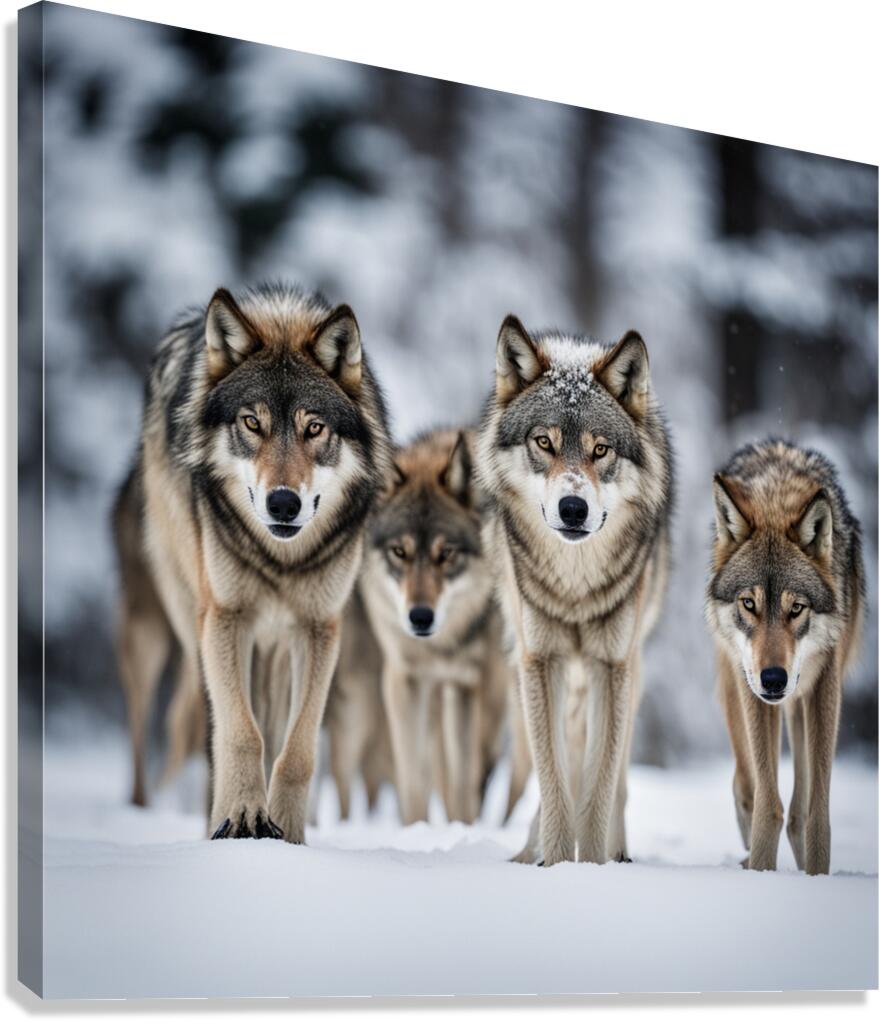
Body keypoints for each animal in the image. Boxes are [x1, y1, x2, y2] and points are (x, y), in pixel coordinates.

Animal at [114, 282, 392, 841]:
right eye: (251, 423)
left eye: (314, 428)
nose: (282, 503)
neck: (280, 558)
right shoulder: (225, 618)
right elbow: (242, 733)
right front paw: (243, 815)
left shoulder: (319, 628)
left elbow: (297, 748)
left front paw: (288, 835)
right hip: (173, 627)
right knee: (192, 724)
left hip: (275, 648)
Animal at [358, 428, 512, 825]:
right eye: (400, 552)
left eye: (446, 554)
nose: (420, 617)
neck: (438, 647)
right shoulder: (404, 679)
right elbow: (413, 780)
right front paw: (416, 831)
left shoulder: (466, 683)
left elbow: (462, 781)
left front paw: (462, 829)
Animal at [477, 316, 673, 866]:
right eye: (544, 443)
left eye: (600, 449)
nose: (572, 508)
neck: (576, 586)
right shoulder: (540, 661)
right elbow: (555, 782)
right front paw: (559, 865)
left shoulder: (612, 665)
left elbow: (600, 787)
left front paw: (592, 867)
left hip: (630, 669)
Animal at [706, 439, 864, 875]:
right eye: (749, 604)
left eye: (796, 608)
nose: (774, 678)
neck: (776, 496)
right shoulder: (752, 689)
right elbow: (767, 804)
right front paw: (761, 869)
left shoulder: (825, 685)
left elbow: (814, 812)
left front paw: (816, 874)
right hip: (736, 689)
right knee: (744, 783)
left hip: (800, 702)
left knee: (798, 806)